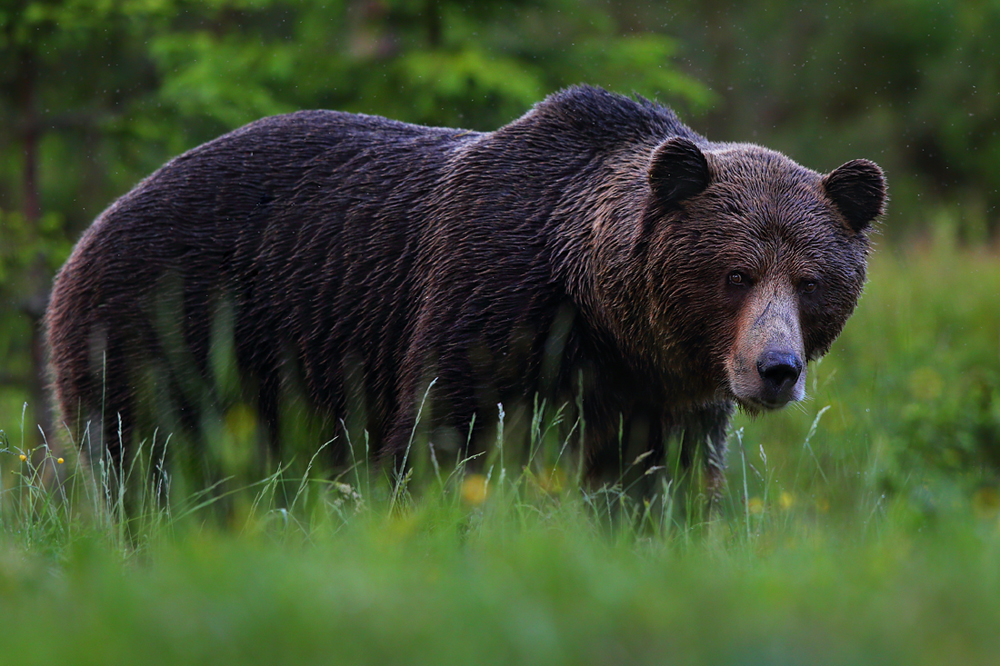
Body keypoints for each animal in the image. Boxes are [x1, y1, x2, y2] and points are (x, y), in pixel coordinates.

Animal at [47, 84, 888, 488]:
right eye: (734, 274)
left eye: (811, 281)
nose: (775, 369)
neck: (599, 314)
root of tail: (89, 229)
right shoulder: (489, 303)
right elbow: (439, 437)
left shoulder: (661, 393)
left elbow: (660, 480)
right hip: (164, 326)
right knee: (154, 463)